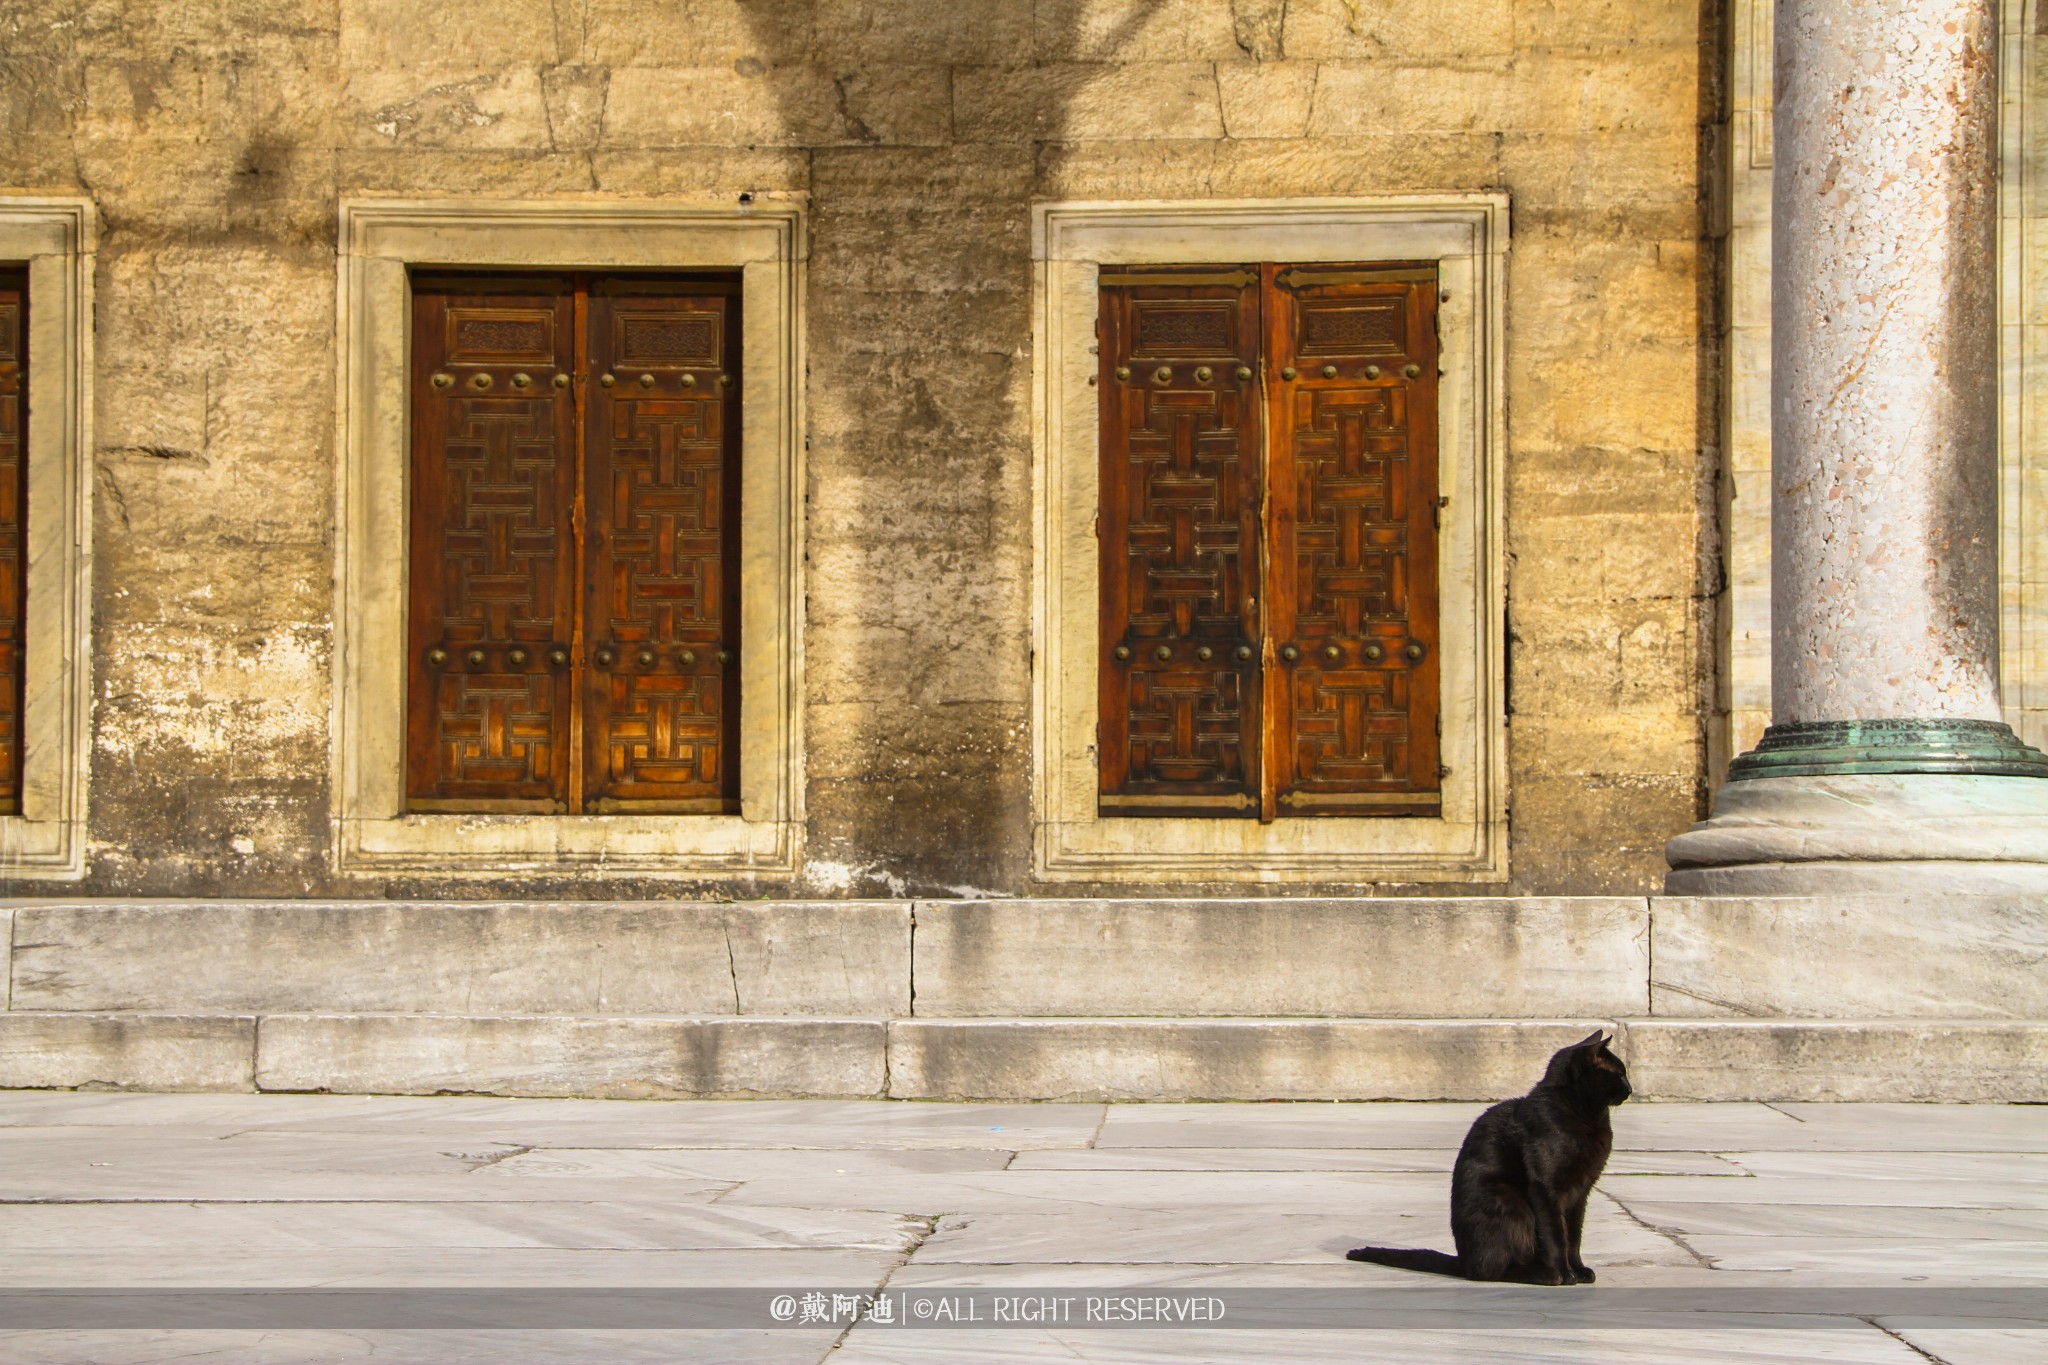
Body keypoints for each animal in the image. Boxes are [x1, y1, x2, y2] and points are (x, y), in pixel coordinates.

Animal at [1343, 1031, 1630, 1285]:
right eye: (1619, 1073)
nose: (1630, 1088)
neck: (1588, 1116)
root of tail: (1463, 1261)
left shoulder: (1579, 1193)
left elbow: (1574, 1237)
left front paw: (1579, 1271)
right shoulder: (1546, 1188)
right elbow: (1556, 1236)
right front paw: (1565, 1274)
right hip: (1511, 1204)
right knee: (1491, 1271)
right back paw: (1545, 1275)